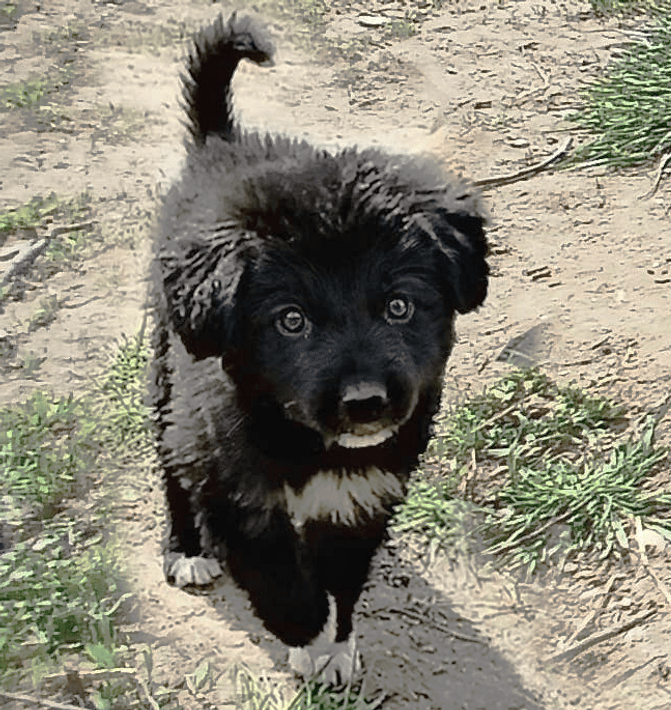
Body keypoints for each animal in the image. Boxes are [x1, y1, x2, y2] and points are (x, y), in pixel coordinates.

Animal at [150, 12, 489, 685]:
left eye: (399, 307)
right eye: (291, 321)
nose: (366, 404)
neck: (313, 448)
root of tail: (221, 144)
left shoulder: (362, 499)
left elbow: (343, 579)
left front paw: (337, 642)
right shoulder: (235, 490)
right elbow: (283, 582)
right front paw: (307, 641)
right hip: (167, 368)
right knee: (170, 458)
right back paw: (186, 549)